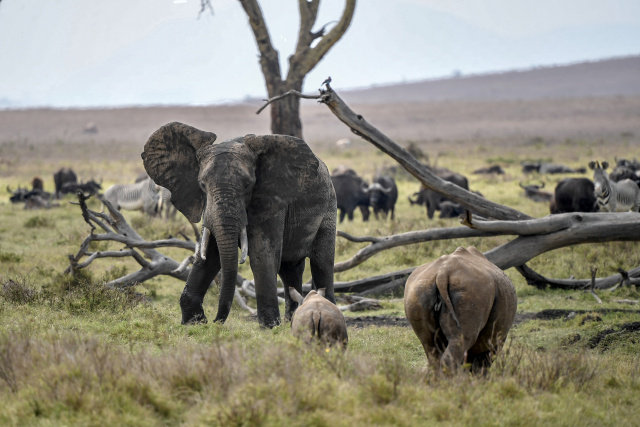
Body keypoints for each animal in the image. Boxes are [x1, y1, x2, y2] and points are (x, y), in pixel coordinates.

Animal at [142, 122, 338, 330]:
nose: (216, 321)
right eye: (202, 185)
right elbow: (210, 255)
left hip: (329, 206)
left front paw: (269, 327)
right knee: (290, 269)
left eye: (247, 186)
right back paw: (292, 321)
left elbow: (262, 256)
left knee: (322, 264)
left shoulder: (272, 200)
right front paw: (193, 323)